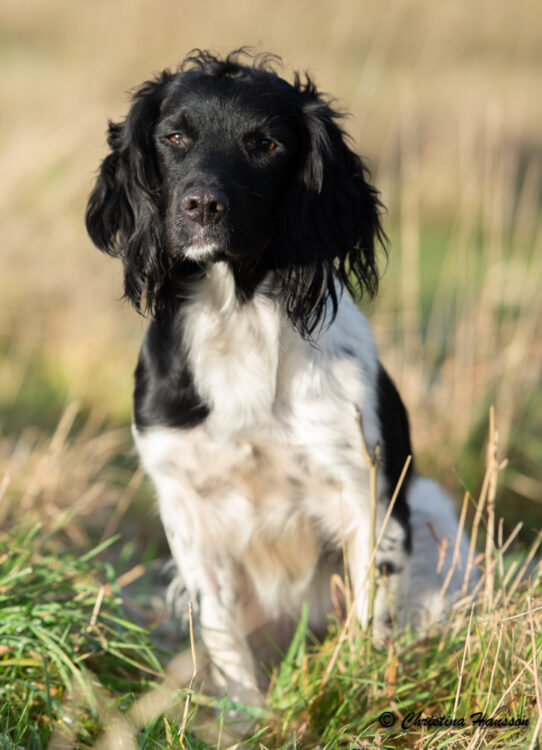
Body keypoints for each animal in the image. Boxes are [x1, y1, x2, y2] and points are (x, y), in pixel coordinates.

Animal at [87, 50, 474, 708]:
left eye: (266, 143)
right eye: (173, 137)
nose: (201, 206)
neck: (236, 316)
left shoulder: (365, 492)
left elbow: (371, 621)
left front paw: (358, 691)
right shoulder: (186, 507)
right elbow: (222, 632)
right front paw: (243, 716)